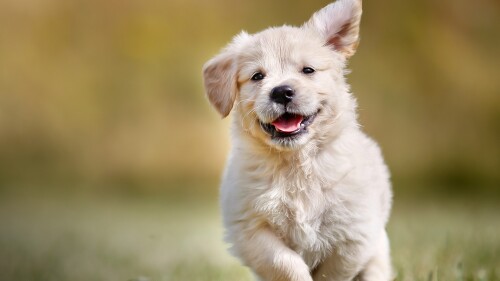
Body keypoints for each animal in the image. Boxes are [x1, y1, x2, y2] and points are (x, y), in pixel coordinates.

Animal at [201, 1, 392, 278]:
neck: (296, 164)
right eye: (257, 76)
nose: (282, 92)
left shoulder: (353, 235)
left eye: (308, 70)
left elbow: (331, 274)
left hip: (378, 254)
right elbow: (285, 263)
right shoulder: (250, 228)